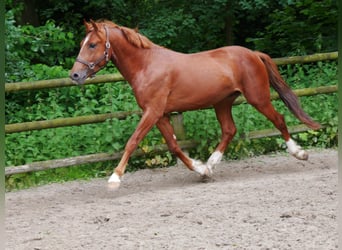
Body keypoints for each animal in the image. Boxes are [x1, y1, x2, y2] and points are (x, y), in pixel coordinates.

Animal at [70, 20, 320, 188]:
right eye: (83, 43)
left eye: (92, 45)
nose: (75, 75)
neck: (146, 65)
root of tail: (253, 53)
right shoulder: (160, 115)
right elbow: (174, 146)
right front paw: (201, 170)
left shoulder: (152, 112)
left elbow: (133, 142)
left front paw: (114, 178)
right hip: (222, 103)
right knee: (229, 130)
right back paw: (211, 164)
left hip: (258, 98)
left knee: (279, 119)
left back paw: (299, 153)